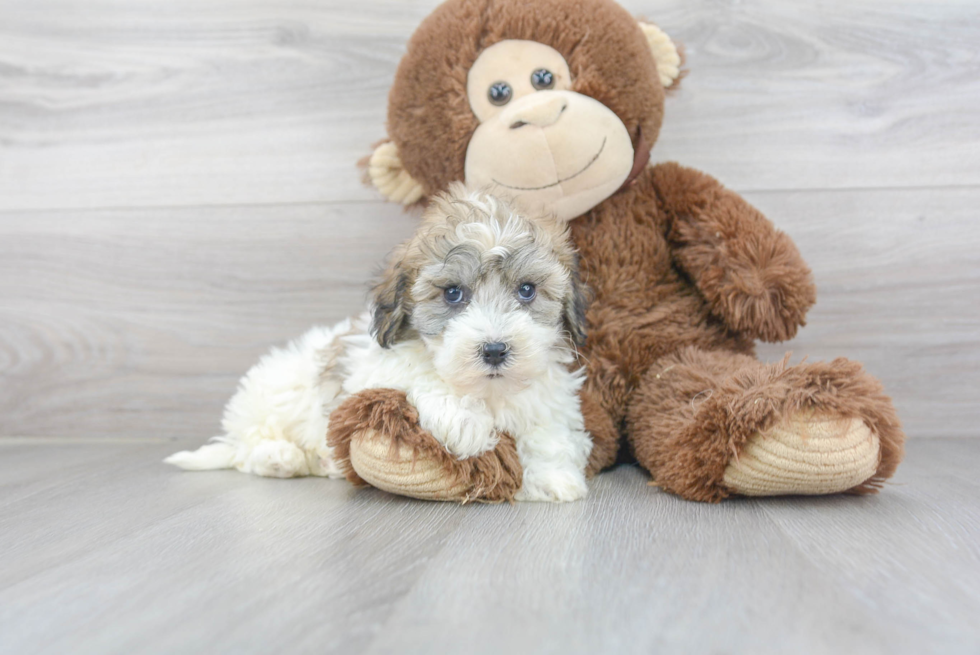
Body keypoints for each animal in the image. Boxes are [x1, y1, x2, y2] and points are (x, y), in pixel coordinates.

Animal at [166, 184, 592, 502]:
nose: (494, 349)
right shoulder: (373, 367)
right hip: (270, 398)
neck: (487, 391)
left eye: (527, 290)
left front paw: (552, 476)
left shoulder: (546, 395)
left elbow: (546, 429)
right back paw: (279, 457)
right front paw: (465, 422)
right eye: (453, 293)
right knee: (248, 448)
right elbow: (418, 376)